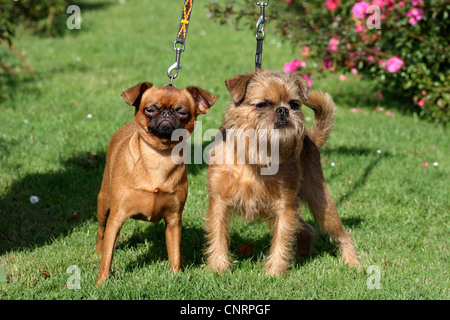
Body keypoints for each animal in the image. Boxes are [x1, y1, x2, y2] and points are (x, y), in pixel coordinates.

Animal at [206, 69, 360, 276]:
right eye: (263, 104)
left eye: (294, 104)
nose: (283, 110)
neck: (254, 155)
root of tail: (310, 138)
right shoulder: (219, 202)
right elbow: (218, 234)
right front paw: (218, 268)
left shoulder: (284, 205)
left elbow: (282, 237)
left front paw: (275, 272)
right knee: (307, 228)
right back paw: (303, 254)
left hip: (320, 202)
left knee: (342, 234)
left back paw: (353, 263)